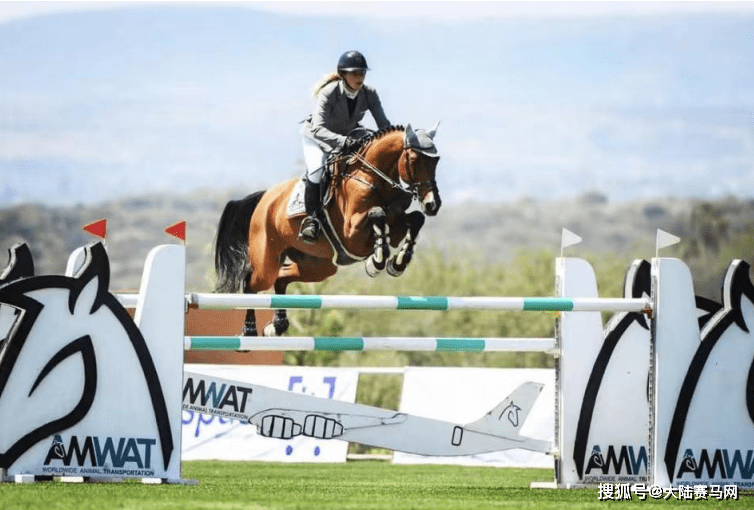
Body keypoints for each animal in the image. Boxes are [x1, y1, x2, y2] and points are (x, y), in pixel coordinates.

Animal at [214, 124, 442, 337]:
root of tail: (264, 198)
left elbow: (415, 219)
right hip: (266, 261)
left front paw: (398, 263)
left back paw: (276, 326)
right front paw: (375, 262)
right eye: (414, 159)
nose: (433, 205)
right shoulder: (352, 236)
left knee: (281, 277)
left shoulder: (394, 225)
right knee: (251, 282)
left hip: (317, 265)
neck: (371, 177)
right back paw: (249, 330)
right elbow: (378, 214)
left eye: (436, 161)